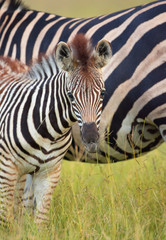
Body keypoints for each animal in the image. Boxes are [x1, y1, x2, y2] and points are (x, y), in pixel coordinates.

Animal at [0, 33, 112, 225]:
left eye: (103, 93)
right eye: (70, 95)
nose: (90, 138)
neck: (49, 133)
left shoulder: (49, 173)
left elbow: (40, 221)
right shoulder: (7, 169)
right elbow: (6, 218)